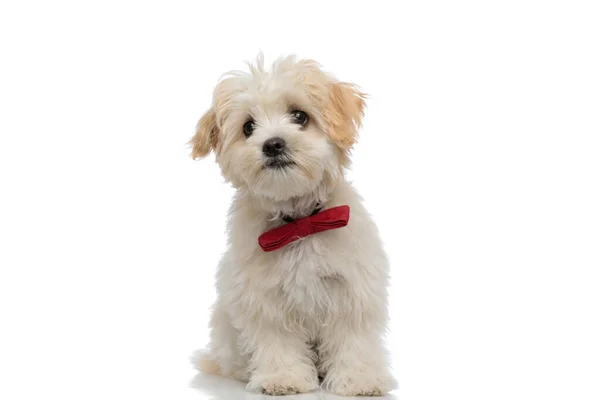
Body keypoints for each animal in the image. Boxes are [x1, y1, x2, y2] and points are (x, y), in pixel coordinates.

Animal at [192, 54, 396, 396]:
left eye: (300, 116)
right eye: (248, 126)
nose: (273, 144)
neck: (300, 223)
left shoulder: (351, 289)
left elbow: (354, 339)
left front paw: (360, 380)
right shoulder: (265, 299)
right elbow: (278, 341)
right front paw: (282, 378)